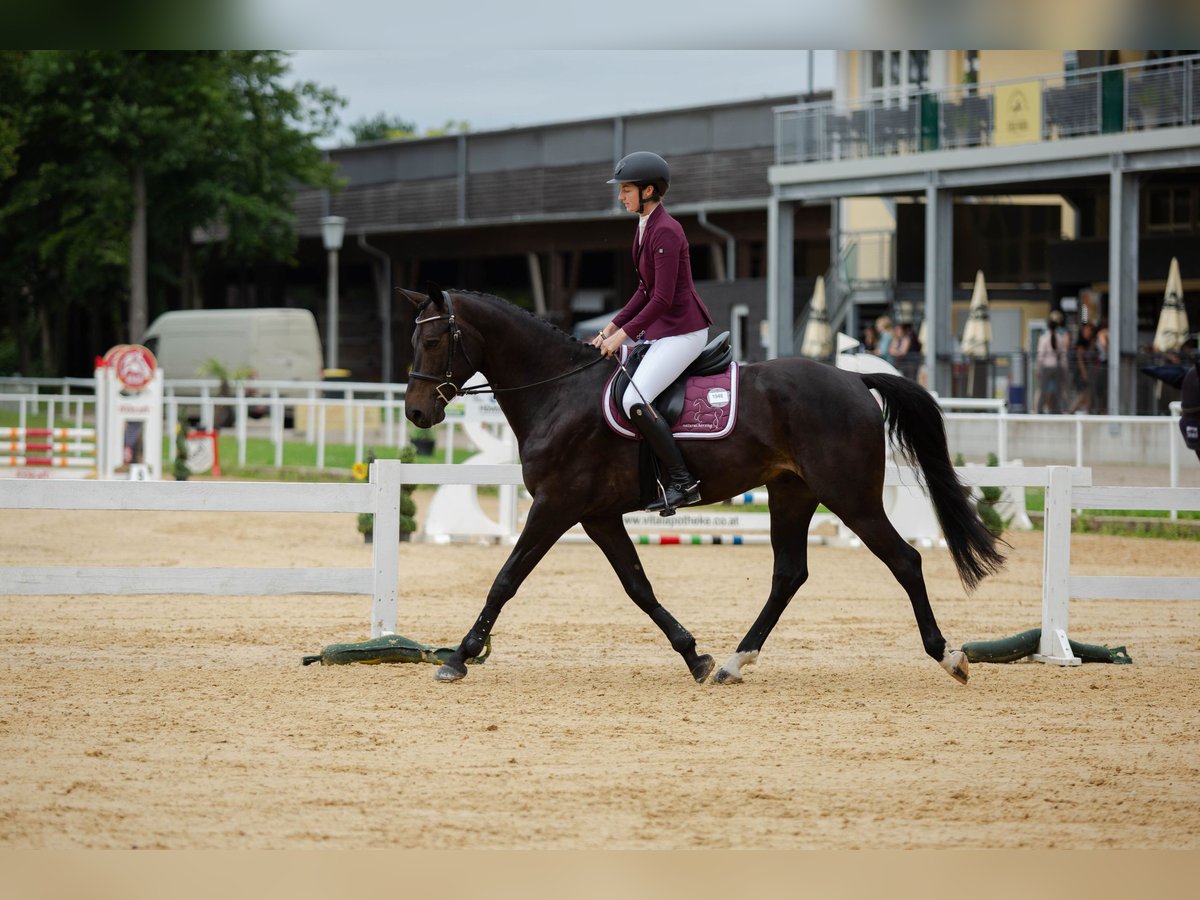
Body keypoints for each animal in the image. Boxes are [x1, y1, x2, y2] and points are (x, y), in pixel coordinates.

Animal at [403, 285, 1003, 686]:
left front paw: (459, 656)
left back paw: (948, 656)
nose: (415, 413)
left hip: (850, 497)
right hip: (792, 493)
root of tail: (855, 380)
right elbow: (638, 586)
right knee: (789, 573)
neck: (558, 391)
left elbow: (505, 579)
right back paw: (735, 662)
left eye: (432, 339)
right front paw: (695, 656)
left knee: (904, 560)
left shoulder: (556, 505)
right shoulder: (596, 515)